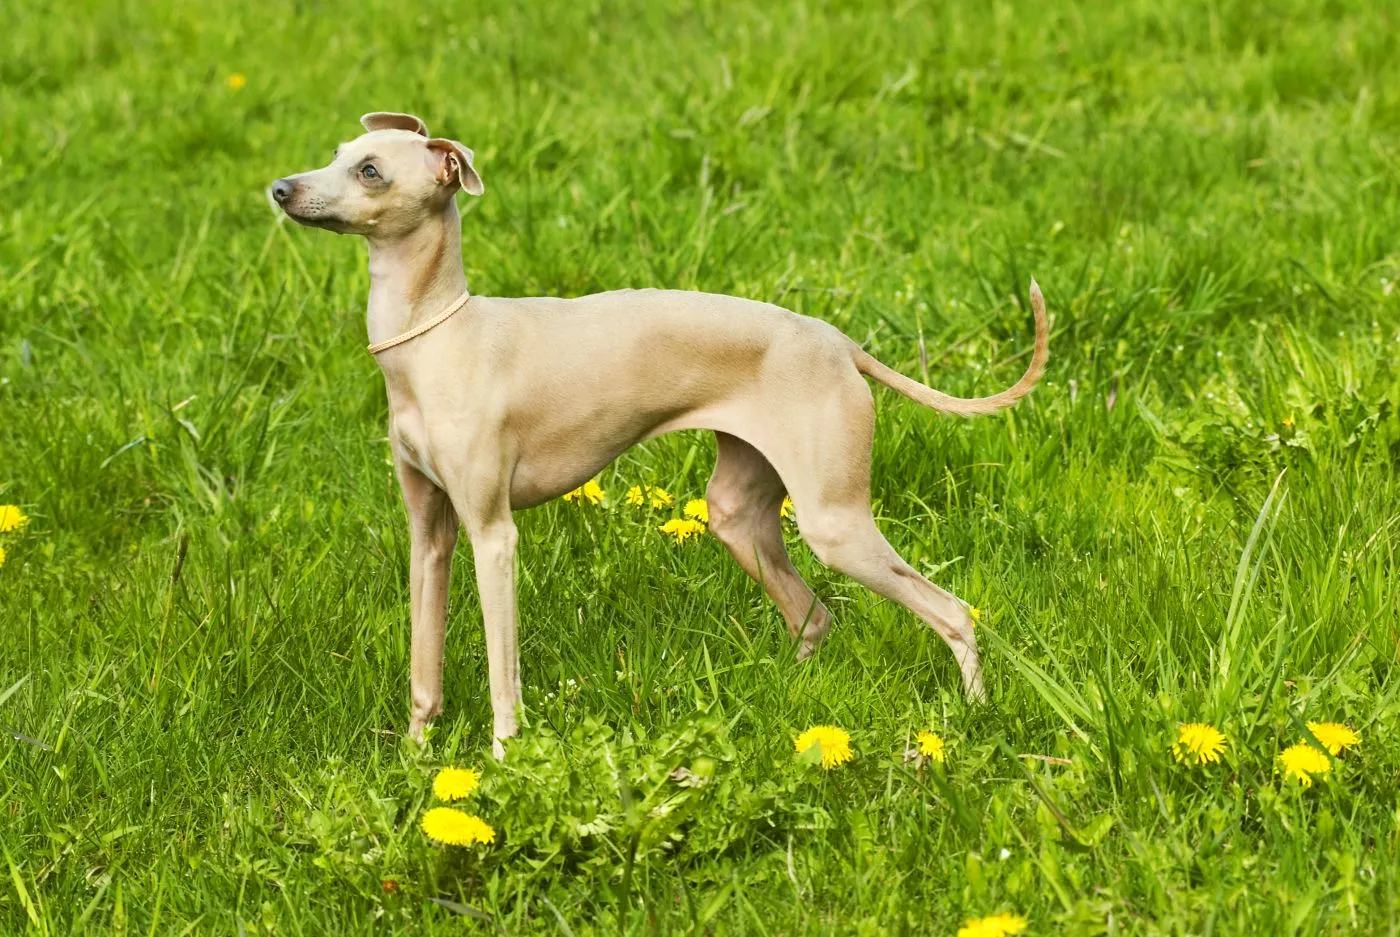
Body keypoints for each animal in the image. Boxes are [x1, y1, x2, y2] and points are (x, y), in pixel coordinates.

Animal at [267, 111, 1047, 750]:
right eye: (337, 153)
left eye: (370, 170)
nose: (279, 188)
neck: (435, 338)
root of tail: (839, 342)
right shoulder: (429, 532)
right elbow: (423, 667)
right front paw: (415, 760)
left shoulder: (492, 533)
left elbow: (502, 675)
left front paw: (503, 762)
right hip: (738, 514)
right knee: (815, 615)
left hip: (835, 523)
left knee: (954, 611)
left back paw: (974, 716)